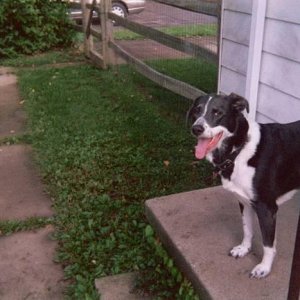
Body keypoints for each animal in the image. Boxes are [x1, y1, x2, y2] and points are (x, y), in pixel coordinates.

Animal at [188, 93, 300, 278]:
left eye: (218, 112)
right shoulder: (244, 200)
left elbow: (268, 243)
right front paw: (243, 249)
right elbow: (247, 228)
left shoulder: (267, 208)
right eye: (197, 110)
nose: (196, 129)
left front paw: (264, 268)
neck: (239, 150)